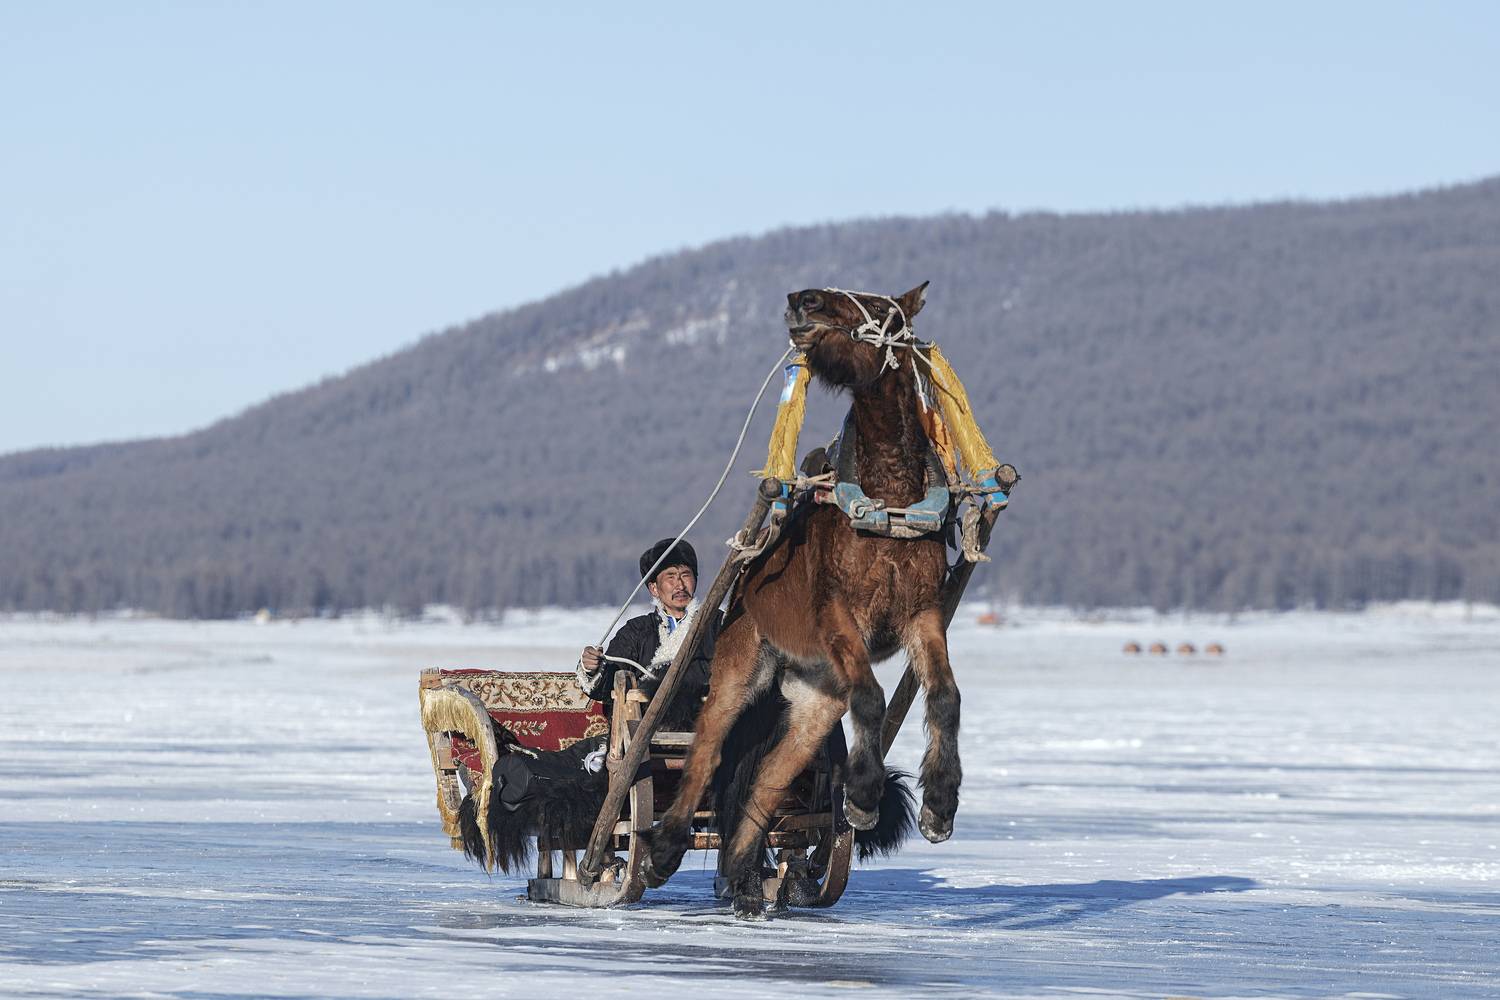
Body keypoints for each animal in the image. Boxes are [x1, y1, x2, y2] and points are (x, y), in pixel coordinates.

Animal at [643, 282, 964, 919]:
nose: (803, 299)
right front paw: (862, 796)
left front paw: (940, 805)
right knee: (708, 752)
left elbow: (944, 697)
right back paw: (666, 847)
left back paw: (745, 876)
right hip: (741, 666)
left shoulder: (923, 615)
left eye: (883, 310)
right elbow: (872, 697)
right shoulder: (839, 616)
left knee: (768, 779)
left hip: (815, 700)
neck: (889, 502)